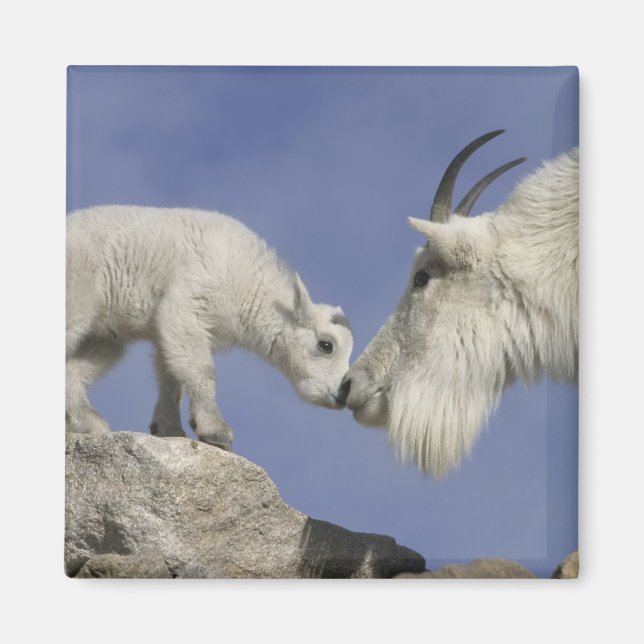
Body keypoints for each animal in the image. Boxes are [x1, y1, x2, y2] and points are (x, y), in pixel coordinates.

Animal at [66, 206, 353, 449]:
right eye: (326, 345)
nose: (343, 393)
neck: (250, 285)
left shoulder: (170, 328)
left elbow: (172, 375)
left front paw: (170, 429)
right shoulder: (188, 305)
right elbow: (203, 369)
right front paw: (215, 431)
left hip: (106, 335)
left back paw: (90, 422)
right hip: (78, 294)